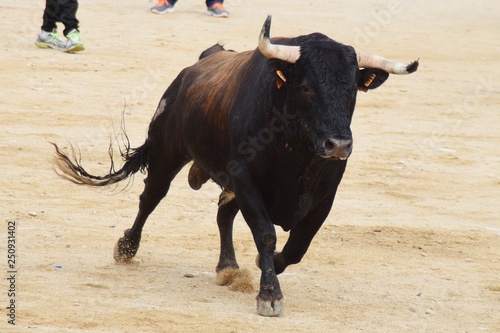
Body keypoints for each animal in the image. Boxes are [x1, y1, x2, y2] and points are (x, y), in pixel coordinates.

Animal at [51, 16, 418, 316]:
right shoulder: (245, 178)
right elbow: (267, 235)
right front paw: (269, 295)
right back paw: (127, 248)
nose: (339, 145)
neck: (295, 150)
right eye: (305, 86)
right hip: (168, 153)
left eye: (353, 90)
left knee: (222, 213)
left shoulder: (324, 195)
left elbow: (298, 245)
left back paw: (227, 266)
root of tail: (198, 64)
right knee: (151, 198)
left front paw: (267, 268)